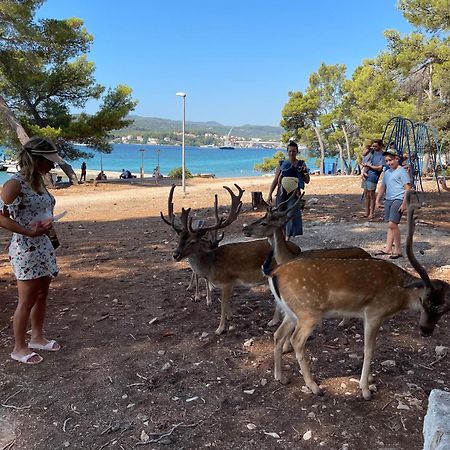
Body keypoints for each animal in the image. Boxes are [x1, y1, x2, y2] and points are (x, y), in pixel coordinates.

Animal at [160, 183, 300, 334]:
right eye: (178, 238)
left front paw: (220, 328)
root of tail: (297, 248)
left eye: (192, 242)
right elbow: (226, 305)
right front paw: (230, 317)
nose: (175, 255)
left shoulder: (227, 282)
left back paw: (275, 322)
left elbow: (223, 305)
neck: (211, 266)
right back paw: (274, 321)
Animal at [264, 188, 450, 400]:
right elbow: (369, 349)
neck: (399, 295)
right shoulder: (374, 313)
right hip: (307, 313)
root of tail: (274, 274)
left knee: (278, 334)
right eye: (425, 300)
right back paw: (314, 386)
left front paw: (369, 379)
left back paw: (281, 377)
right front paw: (365, 389)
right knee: (296, 341)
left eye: (444, 309)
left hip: (291, 312)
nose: (426, 330)